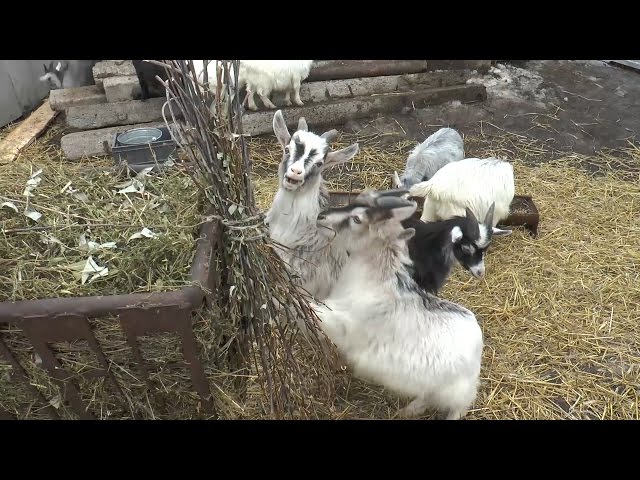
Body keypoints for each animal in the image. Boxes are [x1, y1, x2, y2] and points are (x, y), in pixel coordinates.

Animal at [312, 195, 484, 419]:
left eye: (357, 219)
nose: (321, 216)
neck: (375, 279)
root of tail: (478, 338)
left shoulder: (343, 323)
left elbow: (313, 308)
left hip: (457, 390)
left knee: (455, 408)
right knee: (426, 396)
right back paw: (408, 410)